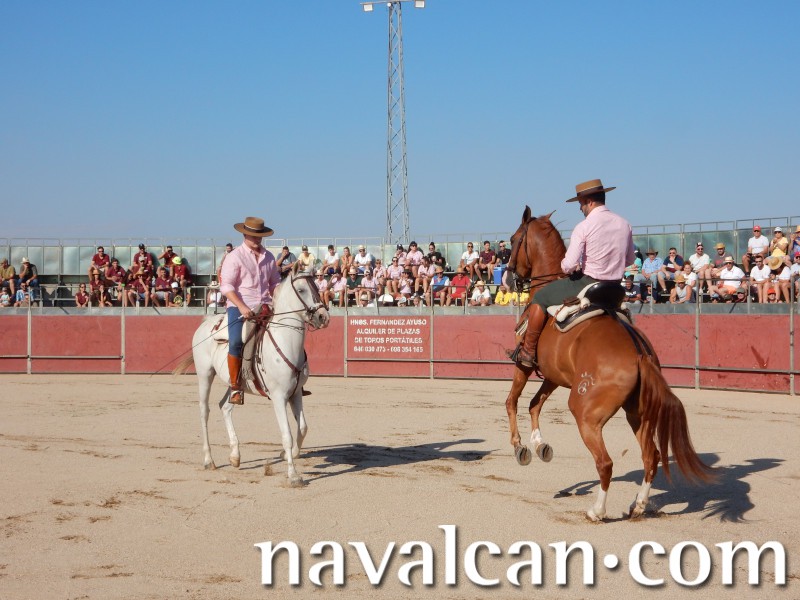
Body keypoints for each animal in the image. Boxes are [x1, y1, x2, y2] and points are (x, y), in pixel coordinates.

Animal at [174, 263, 330, 487]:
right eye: (301, 290)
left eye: (317, 286)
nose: (323, 317)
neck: (286, 342)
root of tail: (207, 321)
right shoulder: (279, 397)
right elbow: (287, 434)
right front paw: (293, 476)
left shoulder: (296, 393)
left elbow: (302, 428)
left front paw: (287, 454)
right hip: (205, 375)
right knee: (205, 412)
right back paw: (209, 460)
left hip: (235, 383)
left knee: (225, 406)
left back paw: (235, 456)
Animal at [504, 206, 713, 520]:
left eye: (514, 239)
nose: (509, 277)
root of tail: (639, 355)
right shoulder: (554, 376)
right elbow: (534, 404)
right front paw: (540, 445)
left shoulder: (525, 367)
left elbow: (513, 401)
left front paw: (521, 448)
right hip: (638, 414)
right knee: (651, 456)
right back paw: (638, 505)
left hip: (586, 415)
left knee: (605, 462)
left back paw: (597, 511)